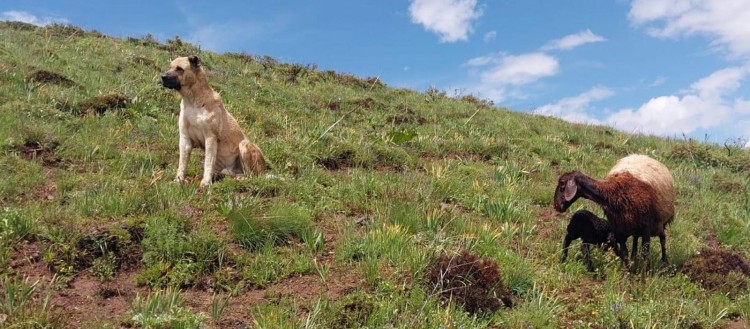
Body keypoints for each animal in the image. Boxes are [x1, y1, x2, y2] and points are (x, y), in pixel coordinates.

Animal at [162, 55, 268, 186]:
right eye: (170, 67)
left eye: (179, 69)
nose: (163, 77)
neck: (192, 101)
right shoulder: (185, 138)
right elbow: (182, 163)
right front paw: (178, 180)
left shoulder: (210, 138)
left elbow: (208, 162)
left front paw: (205, 183)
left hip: (244, 145)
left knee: (251, 176)